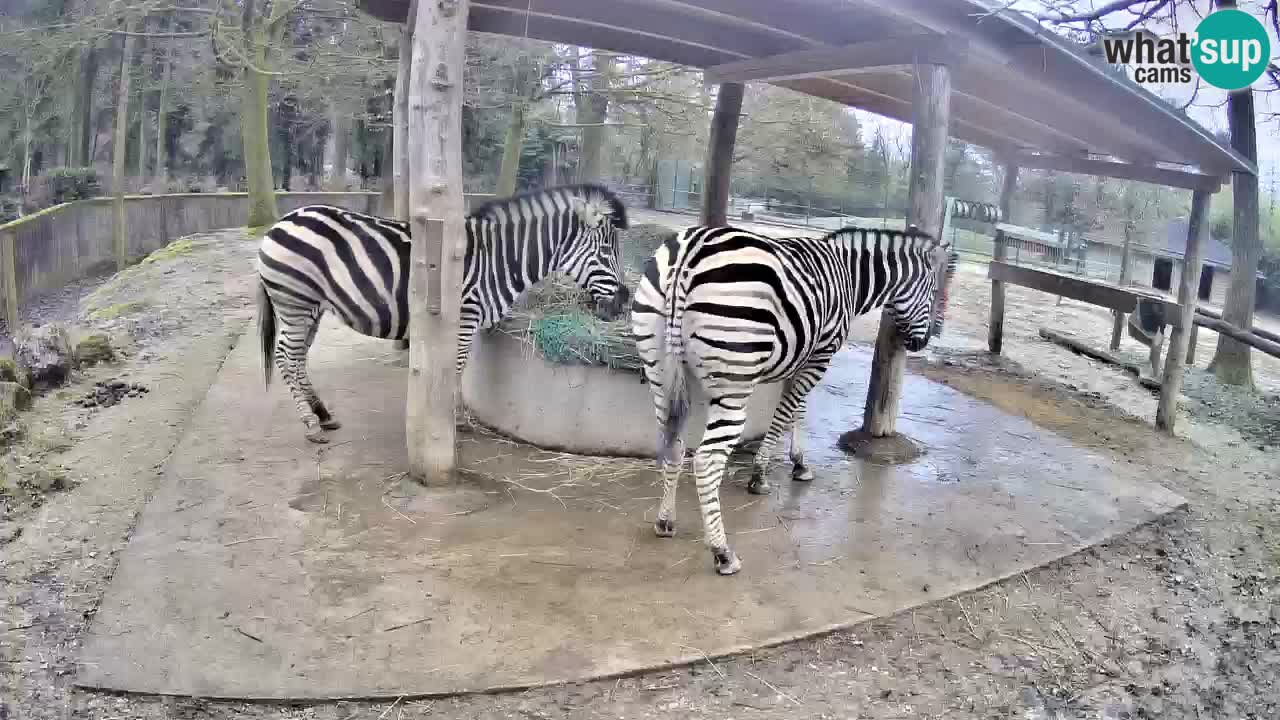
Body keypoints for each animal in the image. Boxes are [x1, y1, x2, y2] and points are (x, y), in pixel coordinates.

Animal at [256, 184, 631, 443]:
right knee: (285, 356)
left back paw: (322, 413)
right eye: (606, 250)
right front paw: (455, 422)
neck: (498, 261)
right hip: (296, 302)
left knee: (298, 357)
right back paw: (310, 424)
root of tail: (281, 221)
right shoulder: (463, 320)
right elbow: (456, 371)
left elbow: (458, 372)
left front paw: (456, 418)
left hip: (311, 307)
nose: (625, 300)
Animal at [631, 224, 954, 575]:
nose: (922, 343)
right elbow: (785, 413)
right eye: (934, 293)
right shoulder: (820, 356)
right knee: (706, 460)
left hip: (661, 370)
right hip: (733, 384)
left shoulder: (802, 355)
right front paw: (760, 475)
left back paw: (665, 521)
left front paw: (799, 462)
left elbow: (798, 409)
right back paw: (723, 552)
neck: (850, 276)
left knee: (673, 443)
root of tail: (689, 252)